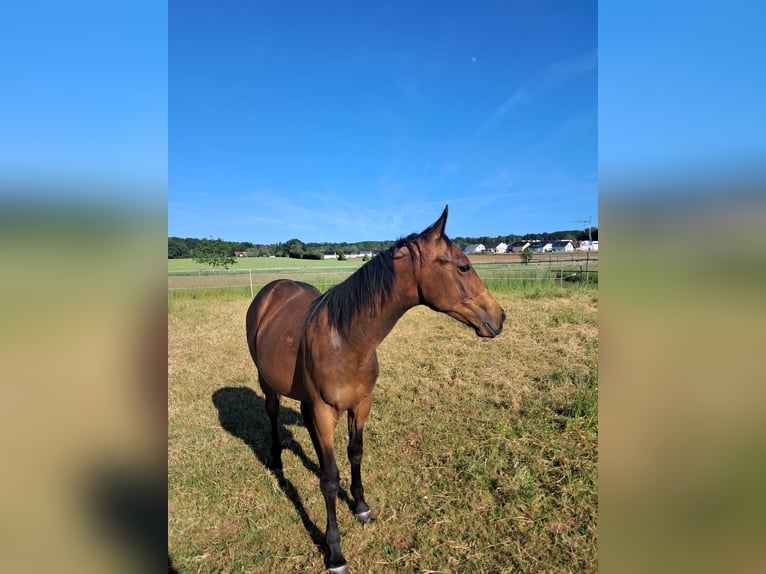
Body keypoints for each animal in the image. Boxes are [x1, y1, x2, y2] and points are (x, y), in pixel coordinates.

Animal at [245, 206, 505, 573]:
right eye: (463, 266)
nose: (499, 317)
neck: (345, 338)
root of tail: (270, 291)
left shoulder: (361, 405)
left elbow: (354, 453)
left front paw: (360, 505)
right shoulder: (324, 411)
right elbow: (327, 479)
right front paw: (335, 551)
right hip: (267, 383)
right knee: (271, 414)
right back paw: (277, 462)